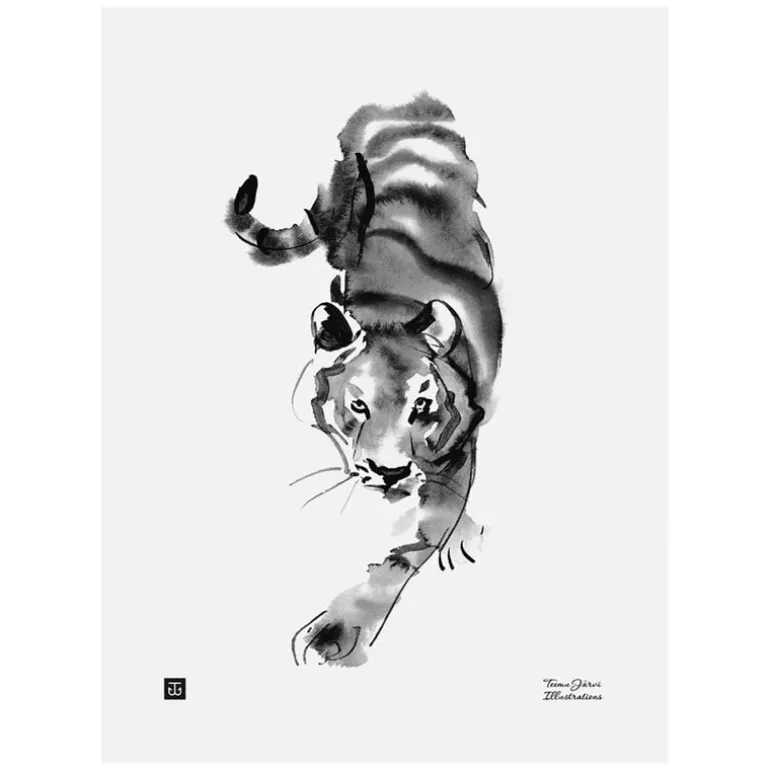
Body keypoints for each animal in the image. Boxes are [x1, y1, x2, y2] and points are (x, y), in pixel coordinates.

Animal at [225, 92, 503, 667]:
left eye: (422, 406)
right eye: (357, 406)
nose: (390, 472)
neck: (391, 306)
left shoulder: (462, 443)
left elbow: (413, 544)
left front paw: (338, 630)